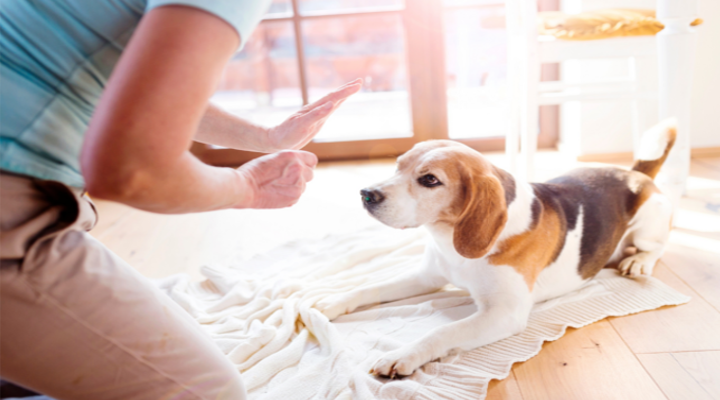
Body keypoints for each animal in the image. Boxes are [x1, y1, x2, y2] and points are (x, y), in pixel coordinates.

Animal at [316, 119, 676, 378]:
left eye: (430, 180)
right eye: (397, 166)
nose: (366, 194)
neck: (450, 241)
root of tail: (633, 173)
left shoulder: (504, 313)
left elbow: (442, 332)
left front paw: (403, 354)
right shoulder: (426, 277)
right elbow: (367, 289)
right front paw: (331, 302)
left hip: (648, 227)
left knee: (656, 247)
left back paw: (639, 262)